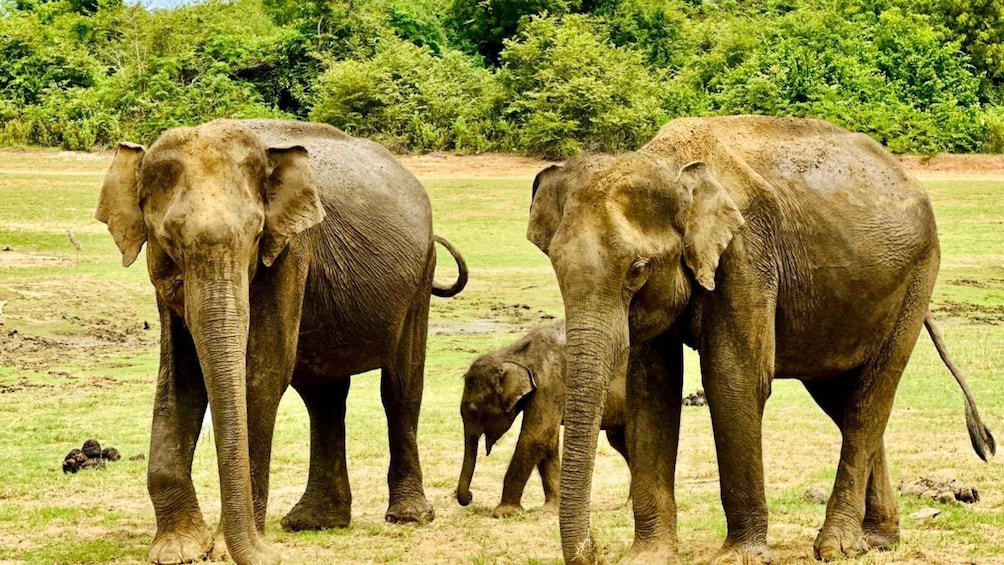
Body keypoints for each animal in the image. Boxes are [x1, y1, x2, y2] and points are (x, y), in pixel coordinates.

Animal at [95, 119, 468, 565]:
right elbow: (179, 380)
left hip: (419, 281)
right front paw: (178, 550)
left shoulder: (290, 251)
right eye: (167, 238)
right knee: (324, 398)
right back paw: (314, 521)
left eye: (256, 235)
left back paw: (408, 516)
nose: (268, 552)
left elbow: (263, 373)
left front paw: (224, 548)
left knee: (399, 388)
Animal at [455, 320, 628, 518]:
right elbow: (548, 442)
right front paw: (551, 510)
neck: (514, 353)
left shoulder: (550, 381)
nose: (470, 496)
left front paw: (502, 513)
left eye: (473, 410)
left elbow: (535, 438)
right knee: (621, 443)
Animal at [525, 115, 996, 564]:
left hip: (917, 279)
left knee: (868, 401)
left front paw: (741, 558)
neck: (668, 163)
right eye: (556, 265)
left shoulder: (747, 254)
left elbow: (734, 379)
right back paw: (877, 541)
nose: (594, 551)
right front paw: (648, 557)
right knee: (841, 399)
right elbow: (651, 391)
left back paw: (837, 547)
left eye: (637, 269)